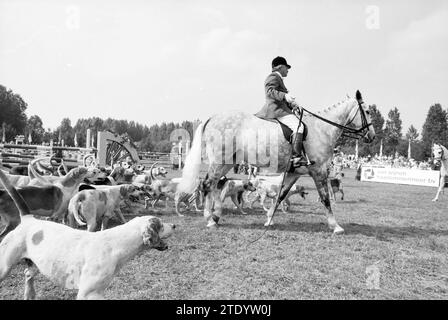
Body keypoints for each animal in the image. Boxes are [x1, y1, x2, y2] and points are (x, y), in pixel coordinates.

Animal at [178, 90, 374, 235]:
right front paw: (336, 226)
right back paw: (209, 219)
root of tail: (211, 118)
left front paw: (269, 219)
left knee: (214, 185)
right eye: (368, 111)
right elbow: (325, 198)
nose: (371, 136)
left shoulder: (294, 173)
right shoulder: (318, 171)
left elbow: (281, 195)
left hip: (227, 162)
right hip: (219, 160)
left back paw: (216, 216)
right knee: (207, 184)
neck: (321, 129)